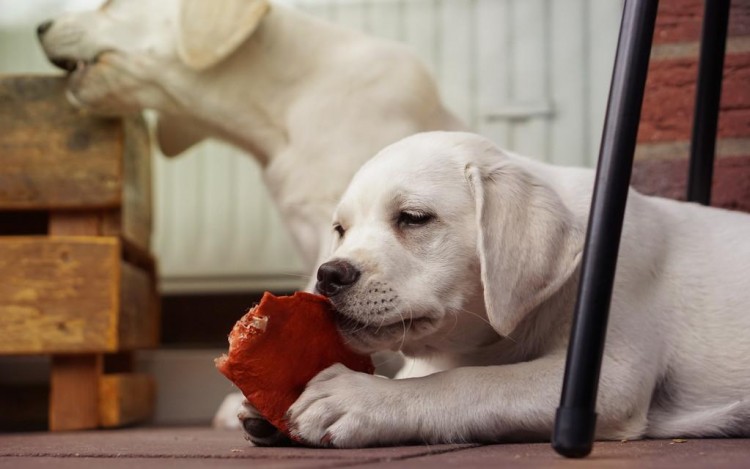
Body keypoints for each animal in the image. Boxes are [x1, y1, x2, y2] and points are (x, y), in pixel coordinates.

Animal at [264, 131, 750, 446]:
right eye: (340, 230)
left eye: (414, 218)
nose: (329, 275)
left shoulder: (611, 375)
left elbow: (473, 382)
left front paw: (362, 398)